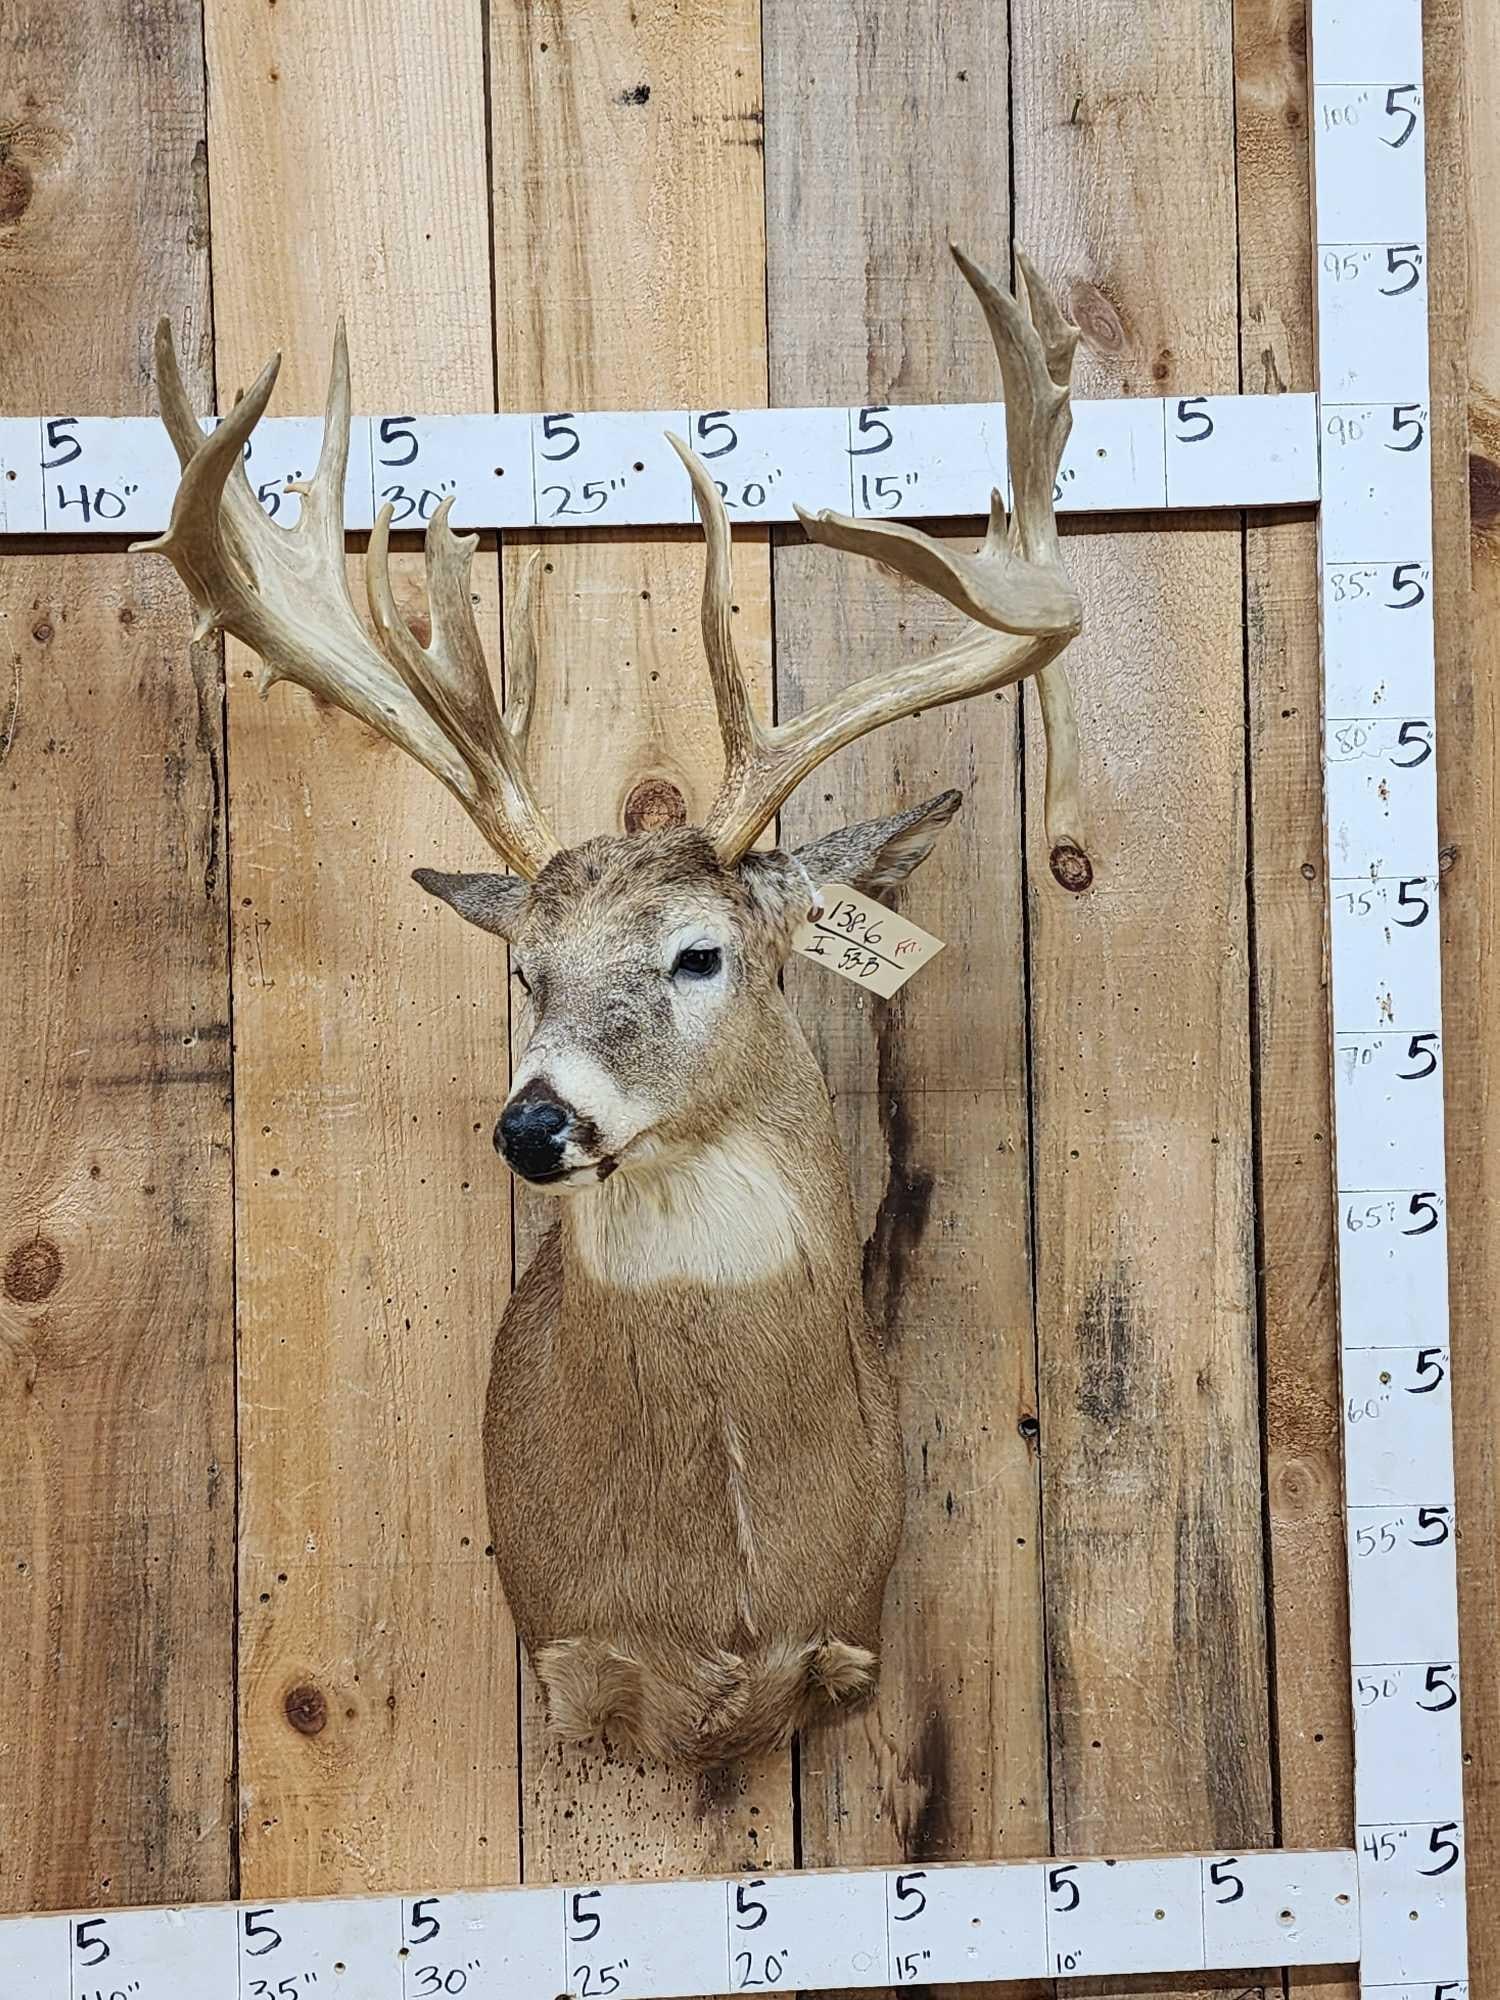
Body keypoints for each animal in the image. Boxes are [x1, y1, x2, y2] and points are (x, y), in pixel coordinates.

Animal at [136, 245, 1086, 1769]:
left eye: (700, 954)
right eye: (526, 967)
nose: (535, 1125)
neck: (728, 1594)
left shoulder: (848, 1634)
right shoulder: (571, 1650)